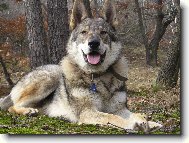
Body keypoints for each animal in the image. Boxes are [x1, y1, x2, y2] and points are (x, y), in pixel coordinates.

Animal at [0, 0, 162, 131]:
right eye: (84, 32)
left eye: (103, 32)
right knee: (12, 106)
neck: (98, 77)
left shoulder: (120, 109)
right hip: (49, 78)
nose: (93, 43)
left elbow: (136, 114)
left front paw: (149, 122)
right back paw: (28, 111)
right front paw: (131, 124)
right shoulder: (88, 112)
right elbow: (111, 117)